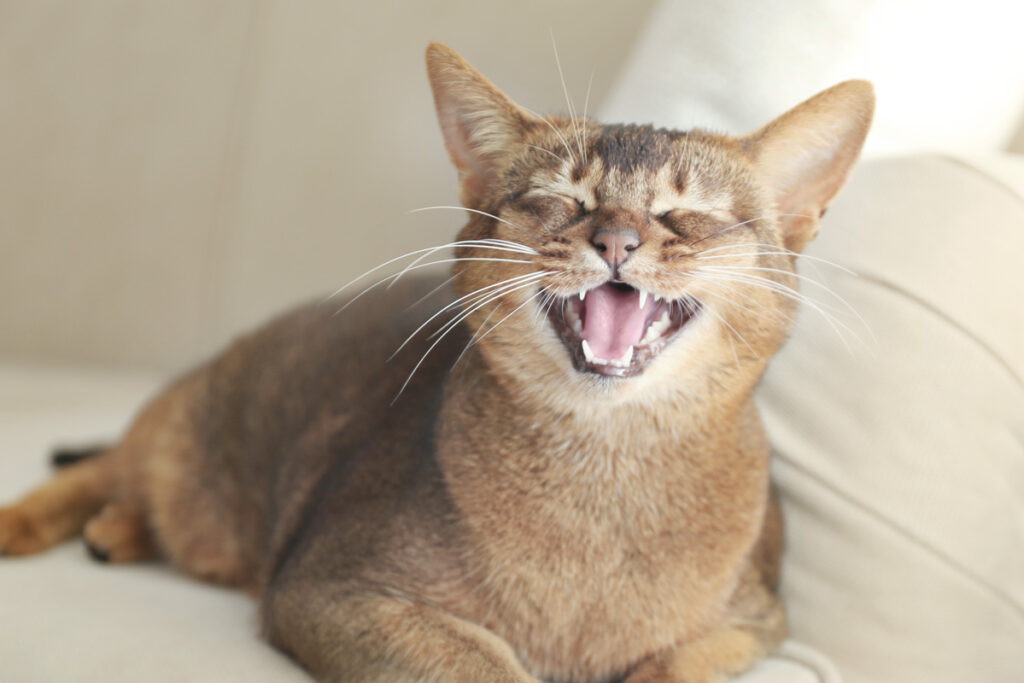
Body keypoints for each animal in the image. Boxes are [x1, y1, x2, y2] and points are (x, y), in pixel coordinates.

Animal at [0, 44, 872, 683]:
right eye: (561, 198)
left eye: (685, 213)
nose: (617, 240)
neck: (603, 473)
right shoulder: (334, 589)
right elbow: (486, 666)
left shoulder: (757, 622)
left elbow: (674, 666)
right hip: (189, 425)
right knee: (107, 463)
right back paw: (32, 524)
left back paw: (118, 532)